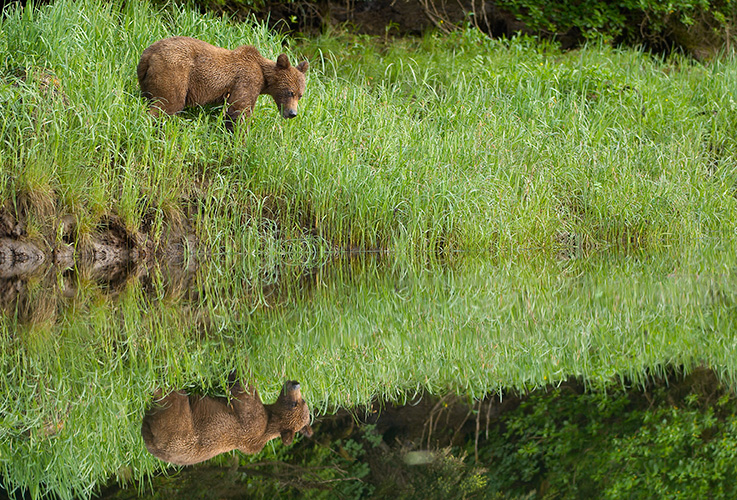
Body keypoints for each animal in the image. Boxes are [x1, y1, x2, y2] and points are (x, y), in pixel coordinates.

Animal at [137, 36, 306, 126]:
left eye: (300, 95)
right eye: (290, 92)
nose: (292, 113)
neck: (264, 80)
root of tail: (148, 54)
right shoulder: (247, 80)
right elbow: (239, 110)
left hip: (147, 79)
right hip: (175, 72)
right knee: (169, 104)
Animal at [140, 380, 310, 466]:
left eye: (295, 403)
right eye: (302, 401)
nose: (296, 383)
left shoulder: (252, 423)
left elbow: (244, 395)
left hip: (180, 427)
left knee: (173, 397)